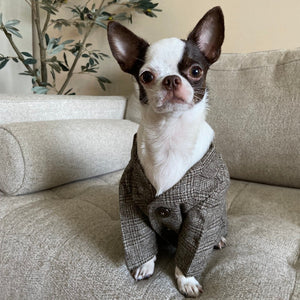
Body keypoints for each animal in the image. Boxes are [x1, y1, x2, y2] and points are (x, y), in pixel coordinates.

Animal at [107, 5, 230, 296]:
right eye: (147, 76)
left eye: (195, 71)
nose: (172, 80)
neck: (169, 134)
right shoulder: (130, 200)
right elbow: (141, 236)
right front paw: (144, 264)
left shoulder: (203, 208)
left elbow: (193, 243)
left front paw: (186, 279)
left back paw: (219, 237)